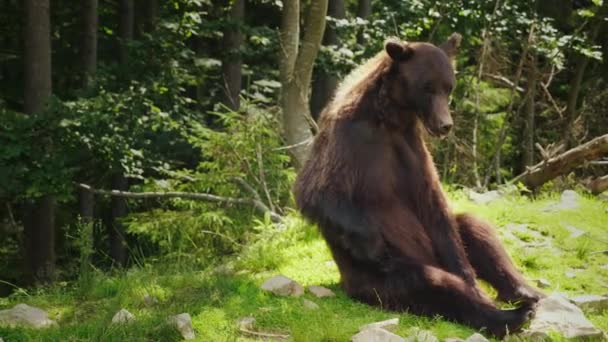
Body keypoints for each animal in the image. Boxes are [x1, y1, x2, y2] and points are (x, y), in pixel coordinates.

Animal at [292, 33, 544, 338]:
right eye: (427, 87)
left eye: (449, 88)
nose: (445, 125)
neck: (390, 117)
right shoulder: (350, 138)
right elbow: (320, 191)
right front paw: (373, 245)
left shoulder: (411, 149)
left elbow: (435, 208)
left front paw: (471, 277)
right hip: (377, 282)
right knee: (429, 282)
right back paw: (511, 316)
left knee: (475, 229)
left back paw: (528, 293)